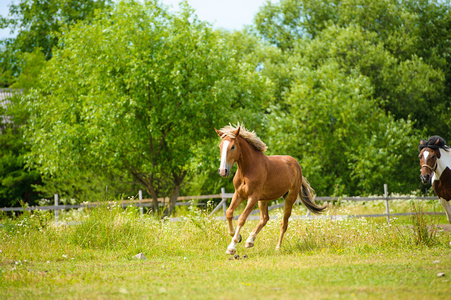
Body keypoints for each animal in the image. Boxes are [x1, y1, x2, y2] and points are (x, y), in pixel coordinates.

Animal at [216, 123, 326, 254]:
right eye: (220, 146)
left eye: (232, 147)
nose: (223, 171)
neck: (247, 170)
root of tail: (296, 165)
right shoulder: (239, 194)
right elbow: (229, 213)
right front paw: (238, 237)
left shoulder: (253, 197)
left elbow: (242, 218)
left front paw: (231, 247)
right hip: (264, 200)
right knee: (265, 218)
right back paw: (250, 241)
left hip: (289, 198)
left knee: (284, 223)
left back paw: (277, 247)